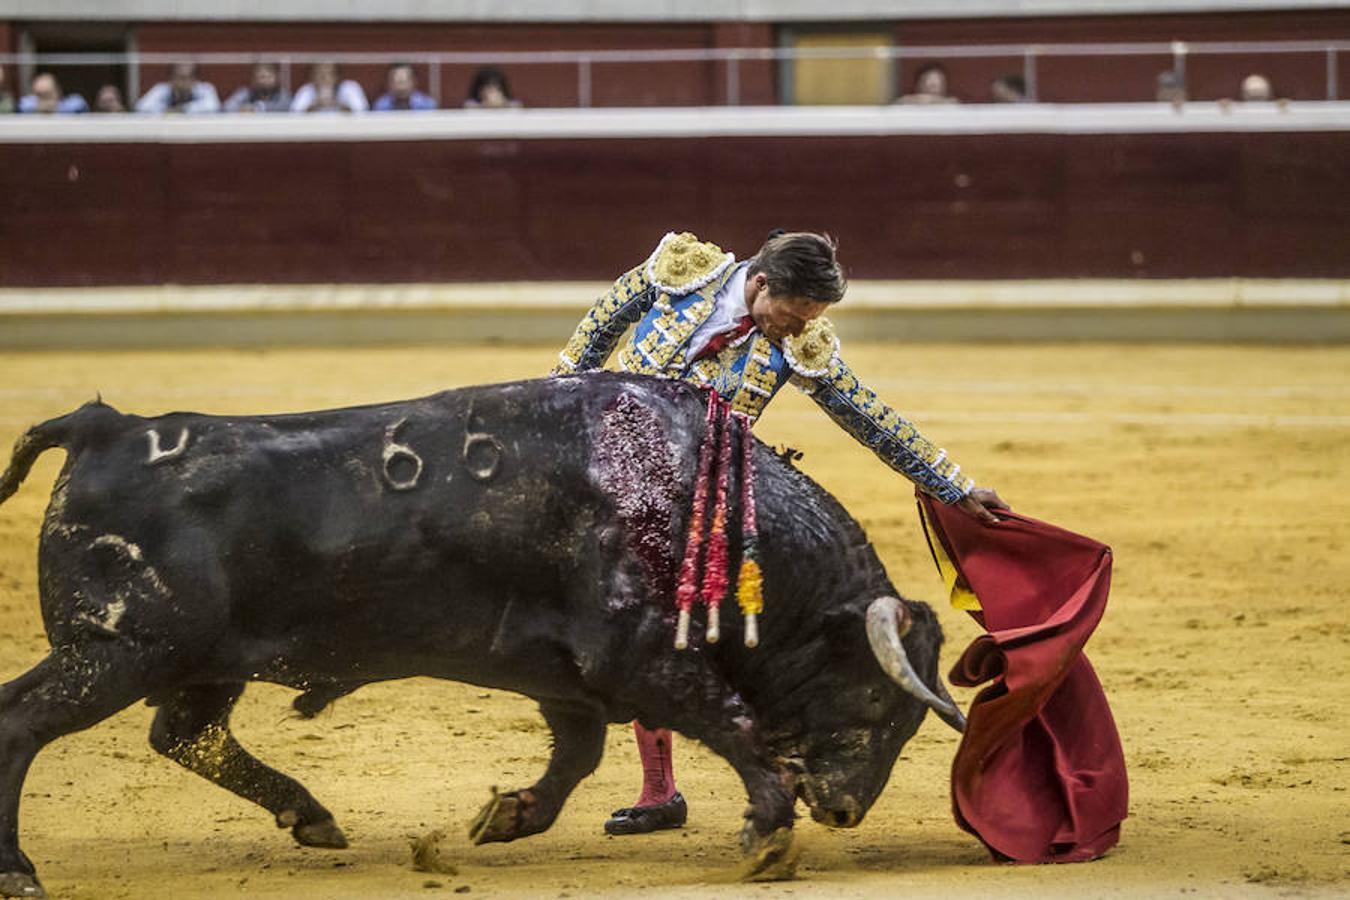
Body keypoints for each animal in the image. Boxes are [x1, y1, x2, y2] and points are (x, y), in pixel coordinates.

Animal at [2, 372, 972, 900]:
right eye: (880, 699)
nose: (843, 809)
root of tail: (105, 427)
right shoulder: (638, 655)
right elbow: (732, 724)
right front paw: (769, 834)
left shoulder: (566, 674)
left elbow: (578, 753)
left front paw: (508, 815)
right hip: (116, 651)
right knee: (25, 724)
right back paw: (19, 868)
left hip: (191, 663)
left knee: (187, 734)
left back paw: (311, 816)